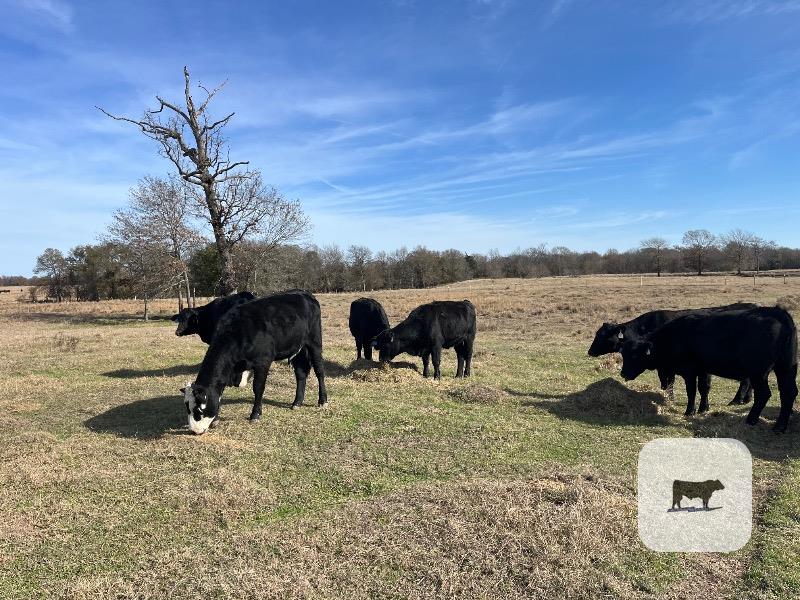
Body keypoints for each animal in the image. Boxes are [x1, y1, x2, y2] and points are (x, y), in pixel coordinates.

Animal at [182, 290, 327, 435]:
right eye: (187, 407)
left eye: (199, 410)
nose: (194, 431)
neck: (238, 332)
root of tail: (305, 293)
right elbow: (218, 392)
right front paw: (216, 419)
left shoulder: (263, 362)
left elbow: (258, 388)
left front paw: (255, 414)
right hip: (298, 349)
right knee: (301, 374)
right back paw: (297, 402)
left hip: (315, 342)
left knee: (319, 371)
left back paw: (323, 400)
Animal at [588, 303, 757, 406]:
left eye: (602, 336)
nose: (590, 351)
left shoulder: (666, 367)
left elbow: (668, 383)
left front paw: (669, 399)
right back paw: (747, 399)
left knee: (745, 381)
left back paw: (737, 400)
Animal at [620, 306, 798, 432]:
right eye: (623, 353)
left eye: (634, 355)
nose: (622, 373)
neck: (674, 336)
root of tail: (777, 312)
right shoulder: (704, 370)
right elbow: (704, 388)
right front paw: (703, 408)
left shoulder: (689, 371)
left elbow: (692, 391)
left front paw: (689, 411)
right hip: (786, 368)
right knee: (788, 393)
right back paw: (780, 426)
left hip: (759, 373)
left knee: (763, 394)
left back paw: (751, 419)